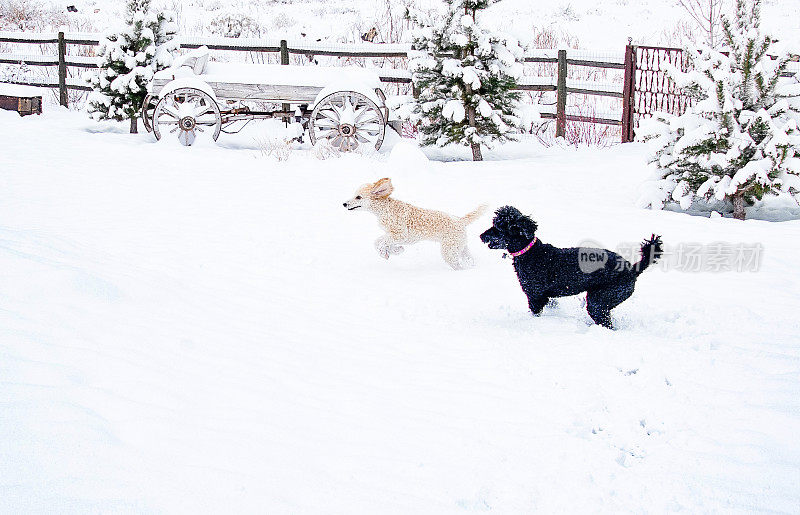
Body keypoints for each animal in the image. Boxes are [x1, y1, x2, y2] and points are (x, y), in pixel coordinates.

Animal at [340, 178, 484, 270]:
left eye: (358, 197)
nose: (344, 204)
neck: (385, 208)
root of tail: (460, 220)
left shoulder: (401, 235)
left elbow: (380, 242)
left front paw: (388, 251)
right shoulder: (393, 235)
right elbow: (378, 242)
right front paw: (394, 250)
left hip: (449, 251)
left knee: (458, 266)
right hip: (460, 247)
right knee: (469, 259)